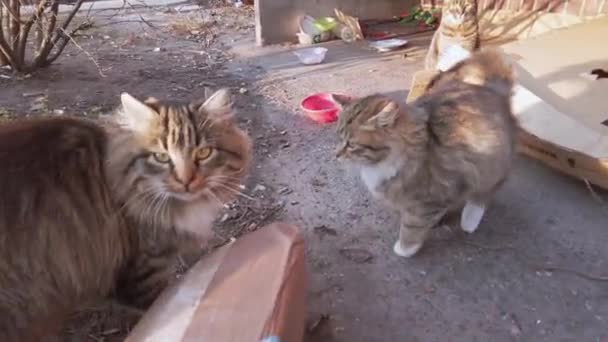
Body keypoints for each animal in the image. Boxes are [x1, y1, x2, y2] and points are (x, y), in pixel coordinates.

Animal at [334, 48, 516, 256]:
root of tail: (494, 90)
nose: (336, 154)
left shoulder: (427, 199)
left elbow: (411, 227)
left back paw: (469, 220)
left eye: (351, 144)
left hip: (491, 168)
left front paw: (405, 249)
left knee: (482, 195)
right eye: (339, 137)